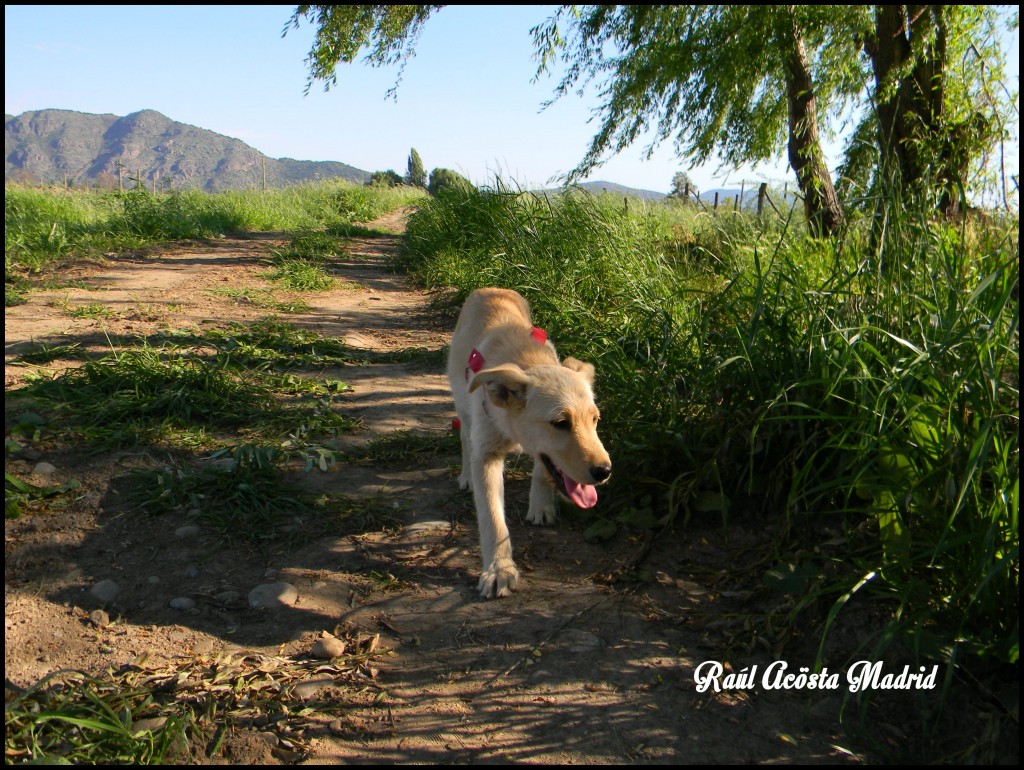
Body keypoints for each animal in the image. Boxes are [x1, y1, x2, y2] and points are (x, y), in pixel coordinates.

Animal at [446, 286, 606, 597]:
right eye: (561, 423)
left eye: (595, 420)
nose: (605, 471)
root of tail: (491, 288)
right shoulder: (487, 454)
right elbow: (493, 519)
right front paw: (499, 570)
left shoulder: (545, 453)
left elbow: (543, 469)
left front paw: (541, 505)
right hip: (462, 405)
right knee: (465, 438)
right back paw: (465, 475)